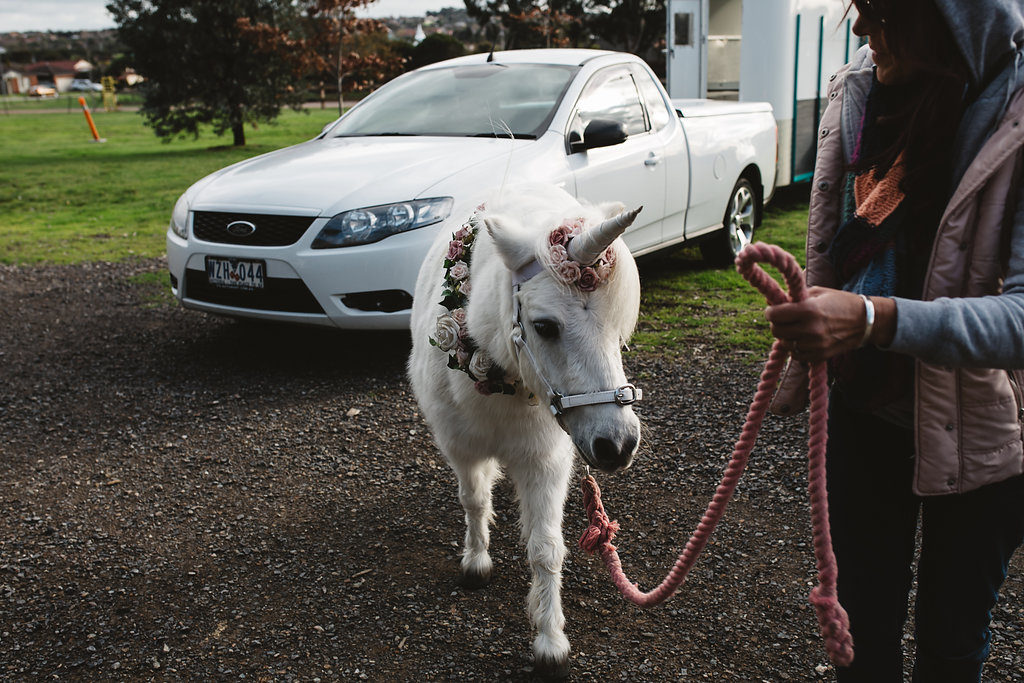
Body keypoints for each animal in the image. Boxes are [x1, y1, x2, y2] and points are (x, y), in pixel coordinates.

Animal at [405, 184, 638, 675]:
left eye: (619, 329)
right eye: (544, 326)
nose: (618, 444)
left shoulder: (544, 462)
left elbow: (546, 548)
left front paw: (550, 641)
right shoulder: (461, 448)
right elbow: (474, 501)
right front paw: (476, 562)